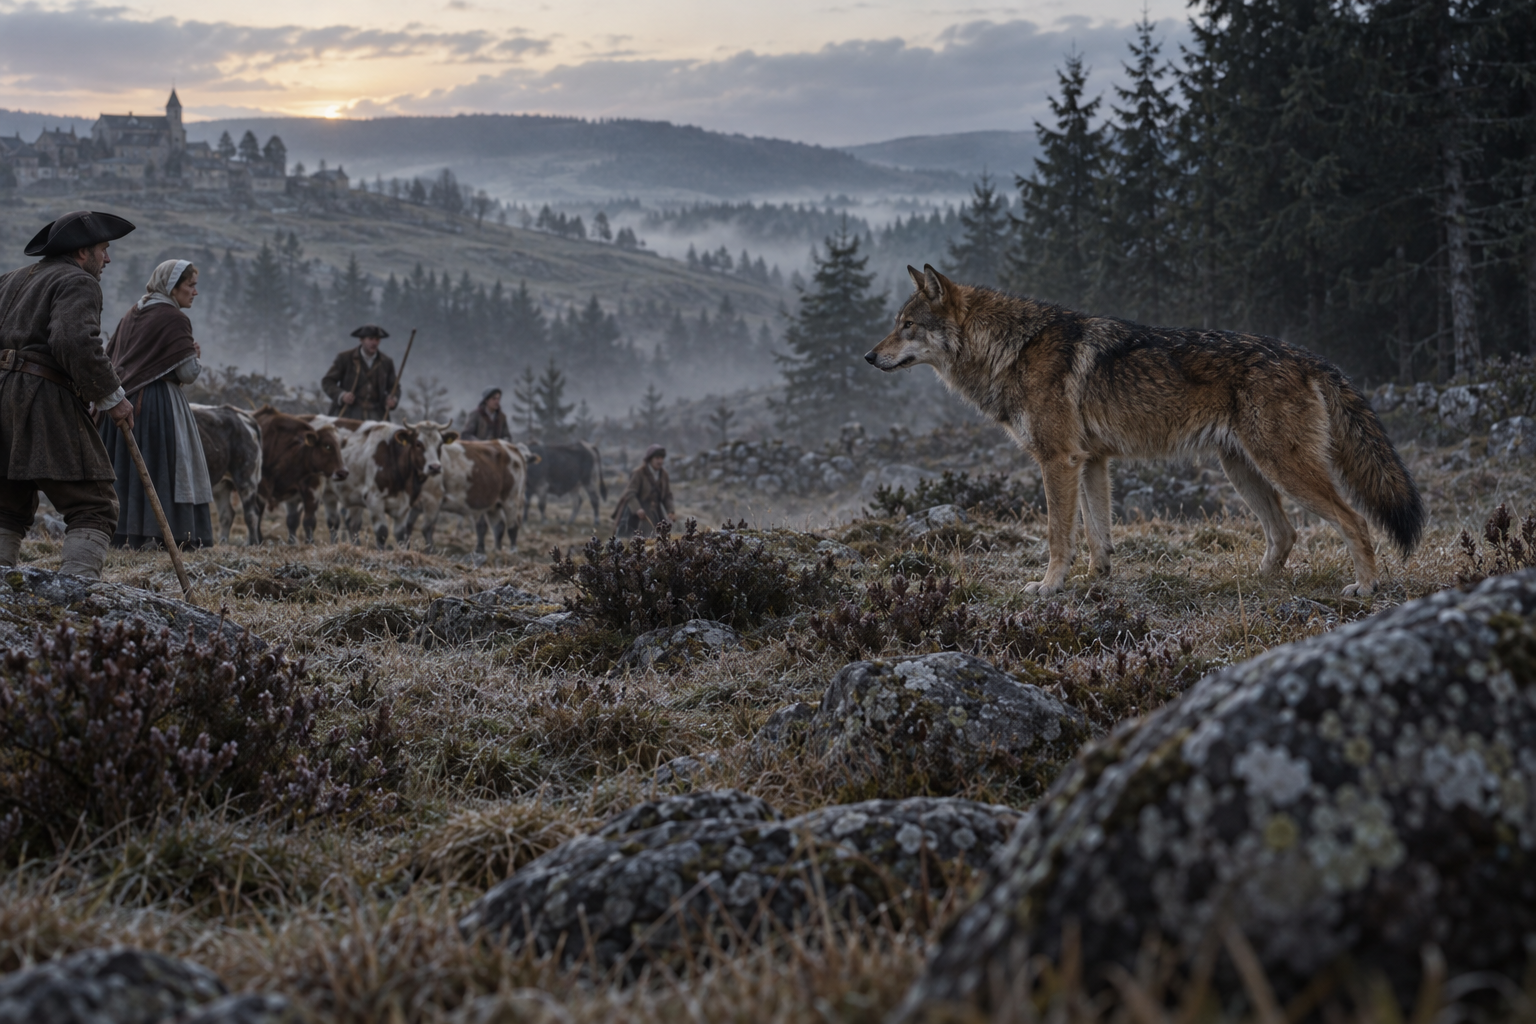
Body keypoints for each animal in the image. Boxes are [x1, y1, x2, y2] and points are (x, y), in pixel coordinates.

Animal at [865, 265, 1424, 597]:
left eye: (907, 326)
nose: (869, 356)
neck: (1011, 349)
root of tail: (1310, 357)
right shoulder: (1091, 462)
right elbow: (1097, 536)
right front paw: (1096, 581)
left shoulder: (1058, 460)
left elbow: (1058, 535)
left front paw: (1048, 587)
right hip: (1243, 471)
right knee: (1284, 533)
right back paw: (1252, 584)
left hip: (1282, 468)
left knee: (1354, 521)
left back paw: (1366, 588)